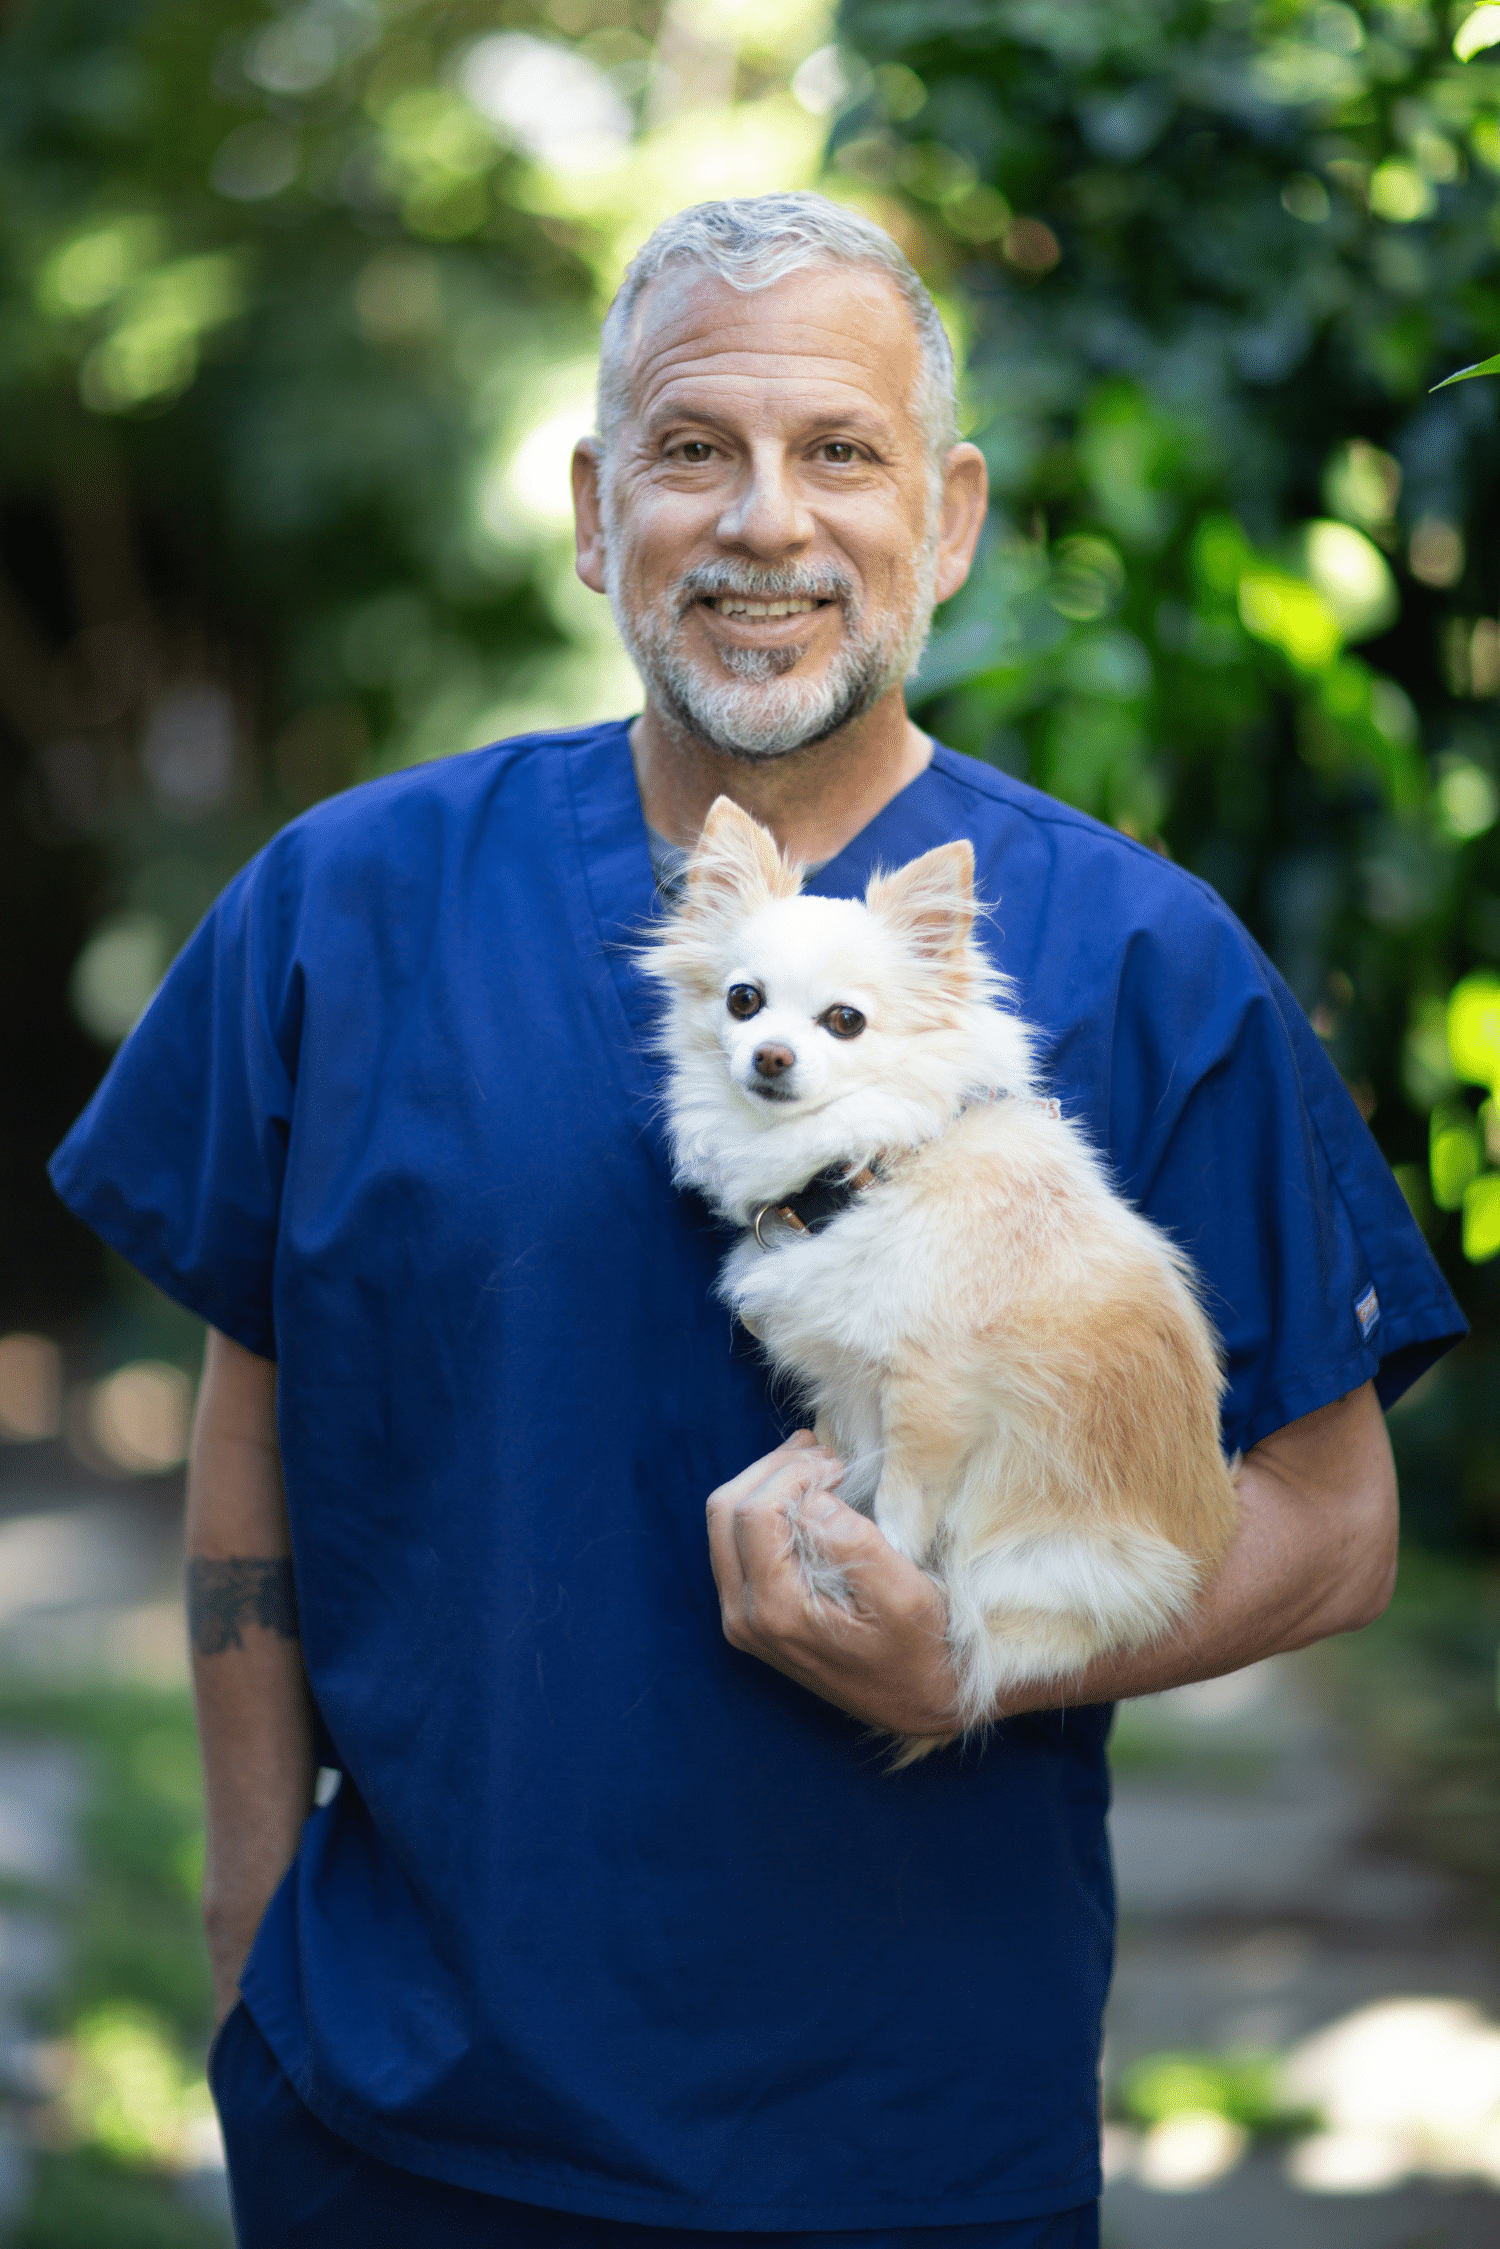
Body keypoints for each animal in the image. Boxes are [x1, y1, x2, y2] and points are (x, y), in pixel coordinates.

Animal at [647, 795, 1240, 1747]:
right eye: (744, 1001)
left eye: (844, 1021)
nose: (770, 1056)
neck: (868, 1167)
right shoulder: (849, 1386)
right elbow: (850, 1454)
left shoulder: (931, 1390)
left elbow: (900, 1499)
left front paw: (877, 1565)